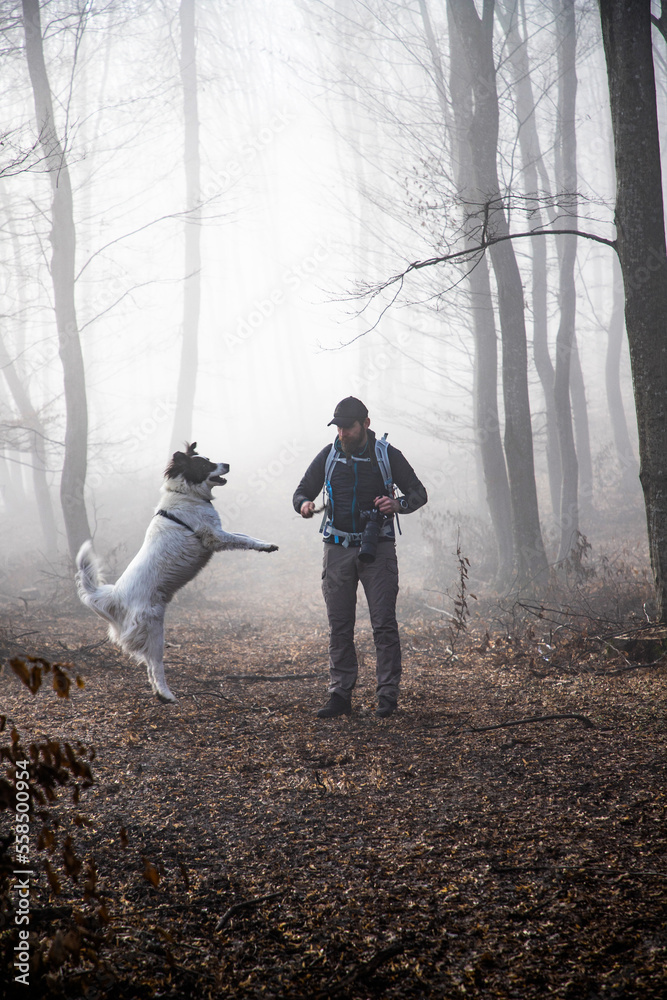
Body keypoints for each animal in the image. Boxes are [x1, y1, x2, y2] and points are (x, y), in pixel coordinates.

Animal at [74, 446, 278, 704]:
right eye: (205, 465)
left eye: (210, 459)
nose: (228, 464)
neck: (186, 494)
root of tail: (114, 597)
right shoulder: (215, 536)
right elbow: (243, 539)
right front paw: (264, 546)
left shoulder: (219, 532)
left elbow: (245, 534)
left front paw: (266, 544)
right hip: (154, 630)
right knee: (155, 666)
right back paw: (166, 694)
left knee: (149, 666)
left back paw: (160, 694)